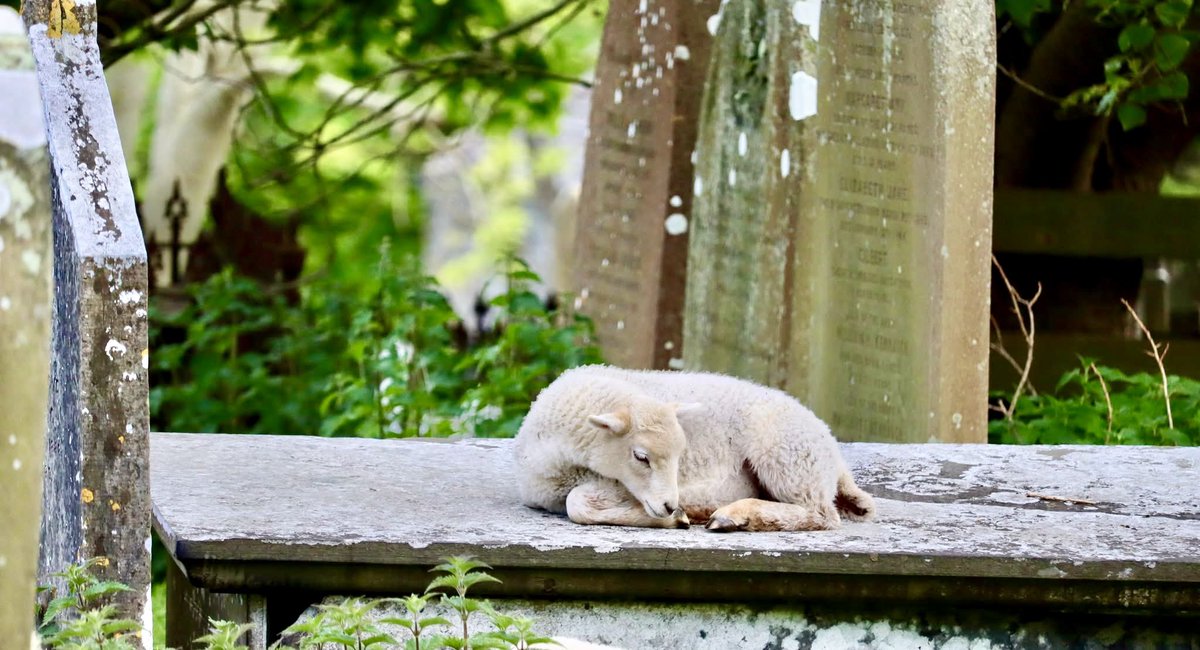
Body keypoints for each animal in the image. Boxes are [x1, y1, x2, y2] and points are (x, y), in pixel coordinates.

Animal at [514, 365, 876, 532]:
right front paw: (683, 514)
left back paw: (733, 516)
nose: (670, 504)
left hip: (787, 453)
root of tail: (835, 456)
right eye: (641, 457)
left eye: (680, 456)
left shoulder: (615, 486)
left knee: (820, 514)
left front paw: (678, 518)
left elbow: (578, 503)